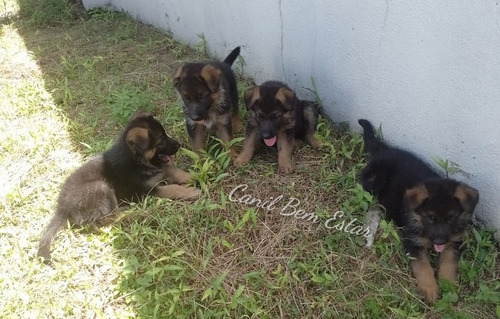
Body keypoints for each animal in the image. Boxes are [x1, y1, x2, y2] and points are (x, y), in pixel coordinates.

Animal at [38, 112, 200, 264]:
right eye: (161, 139)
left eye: (165, 134)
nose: (179, 144)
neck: (136, 159)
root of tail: (61, 207)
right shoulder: (149, 190)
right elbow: (172, 188)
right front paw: (192, 191)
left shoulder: (160, 171)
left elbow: (175, 171)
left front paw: (196, 175)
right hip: (102, 187)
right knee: (100, 222)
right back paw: (129, 213)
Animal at [358, 119, 478, 304]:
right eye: (430, 218)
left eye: (451, 218)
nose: (439, 241)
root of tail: (386, 150)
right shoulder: (412, 242)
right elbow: (423, 266)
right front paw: (430, 288)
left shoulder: (453, 242)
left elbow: (448, 262)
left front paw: (448, 285)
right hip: (373, 182)